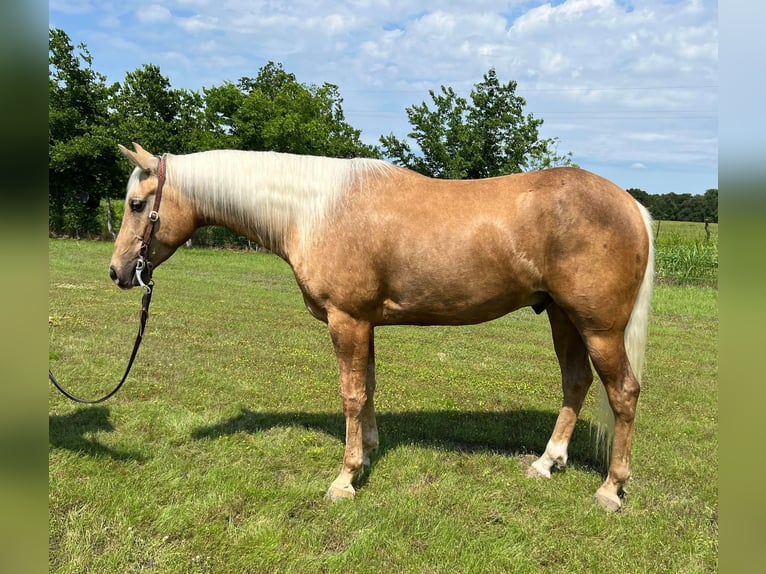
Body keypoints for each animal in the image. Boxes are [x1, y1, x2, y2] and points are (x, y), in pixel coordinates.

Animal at [111, 144, 656, 512]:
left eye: (138, 204)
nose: (118, 272)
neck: (314, 210)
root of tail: (632, 206)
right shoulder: (364, 323)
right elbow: (368, 388)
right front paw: (369, 455)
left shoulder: (347, 320)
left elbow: (351, 395)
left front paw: (345, 479)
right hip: (563, 317)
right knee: (576, 383)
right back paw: (546, 462)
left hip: (599, 327)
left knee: (623, 393)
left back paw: (611, 489)